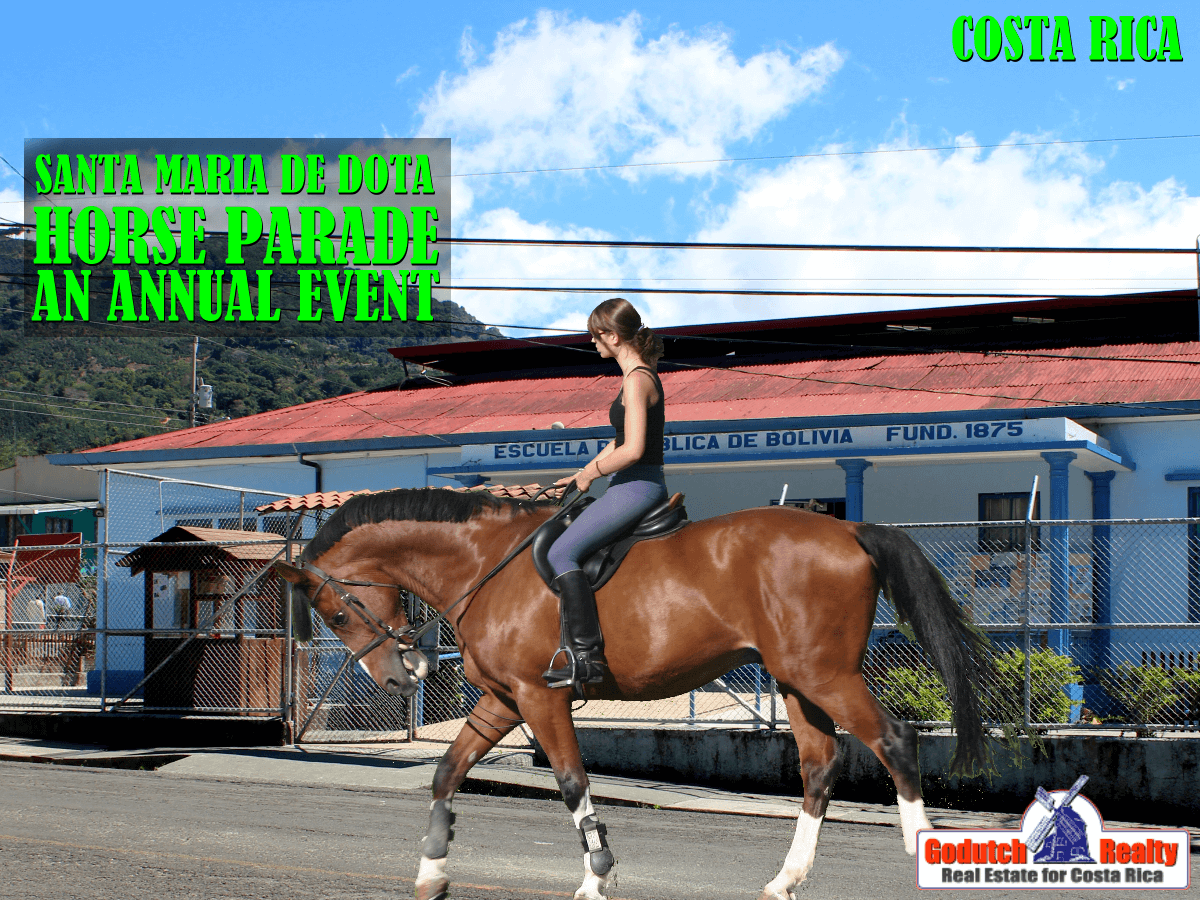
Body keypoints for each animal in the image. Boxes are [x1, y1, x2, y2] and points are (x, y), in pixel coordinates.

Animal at [274, 487, 993, 900]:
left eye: (335, 613)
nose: (400, 678)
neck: (485, 562)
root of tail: (847, 530)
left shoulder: (539, 697)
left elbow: (571, 783)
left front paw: (598, 876)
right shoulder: (503, 700)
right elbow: (447, 772)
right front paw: (431, 874)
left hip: (824, 674)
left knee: (895, 739)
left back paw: (921, 851)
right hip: (797, 679)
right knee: (820, 765)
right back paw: (785, 879)